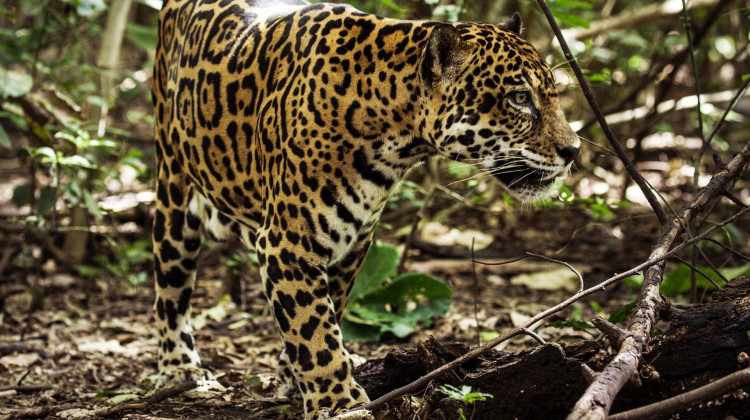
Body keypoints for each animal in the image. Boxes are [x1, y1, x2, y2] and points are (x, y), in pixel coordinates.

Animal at [151, 0, 580, 418]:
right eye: (519, 99)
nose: (573, 150)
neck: (395, 132)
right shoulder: (288, 242)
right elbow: (313, 328)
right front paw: (338, 403)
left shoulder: (353, 240)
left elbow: (327, 311)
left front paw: (293, 377)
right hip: (173, 193)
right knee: (170, 292)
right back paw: (179, 368)